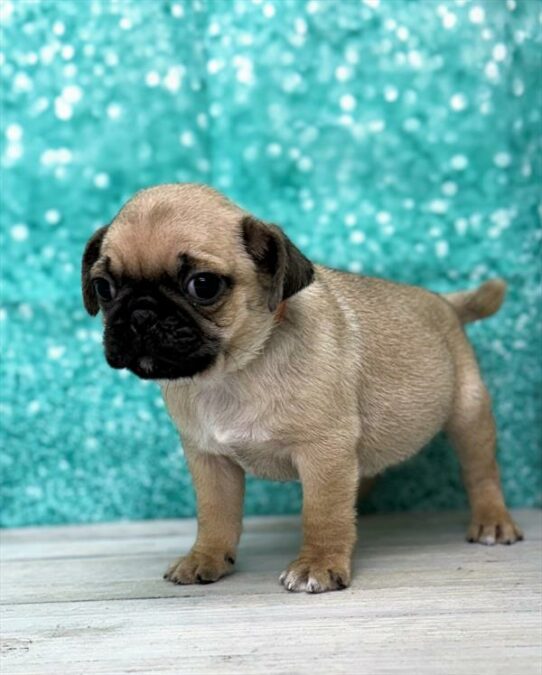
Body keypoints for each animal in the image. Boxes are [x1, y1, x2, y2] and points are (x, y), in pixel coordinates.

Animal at [83, 182, 524, 596]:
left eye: (203, 285)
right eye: (103, 288)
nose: (140, 313)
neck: (233, 372)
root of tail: (444, 302)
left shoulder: (324, 452)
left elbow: (323, 512)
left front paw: (319, 565)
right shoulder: (209, 460)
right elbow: (215, 515)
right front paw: (205, 558)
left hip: (469, 413)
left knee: (482, 472)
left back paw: (492, 521)